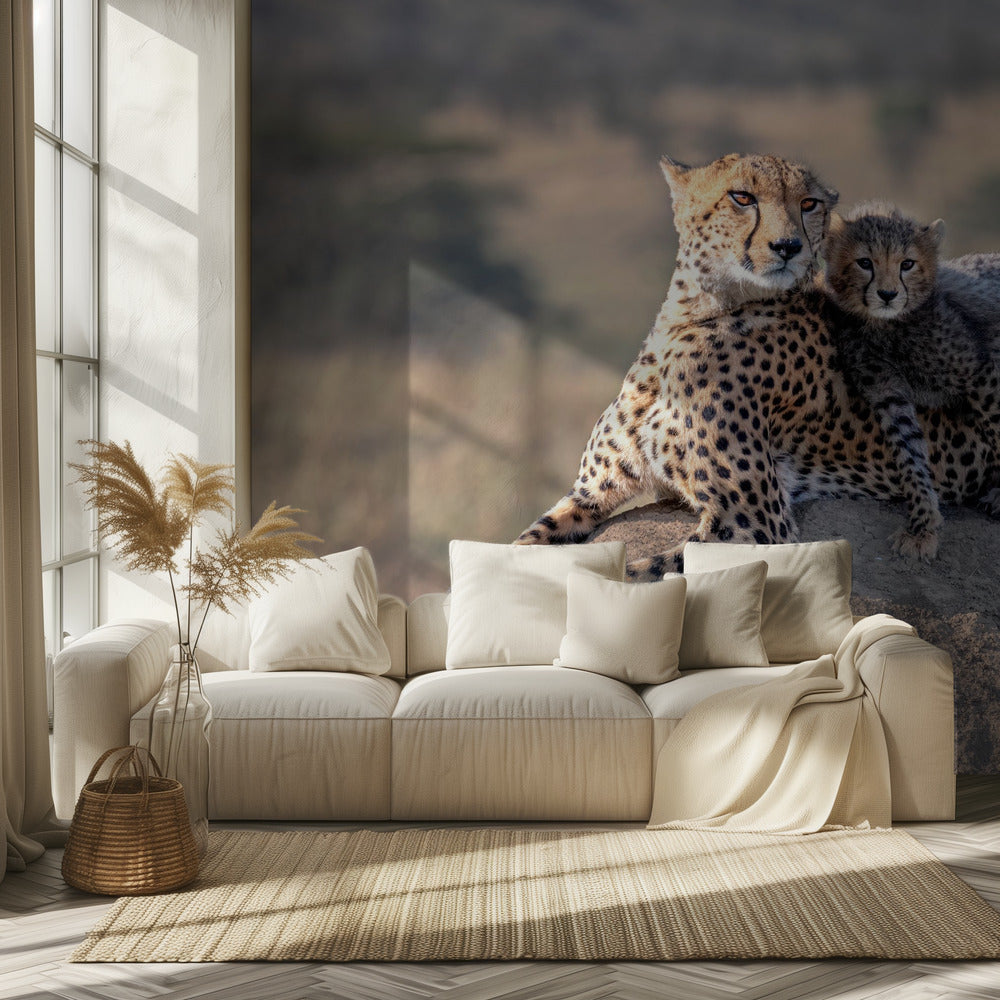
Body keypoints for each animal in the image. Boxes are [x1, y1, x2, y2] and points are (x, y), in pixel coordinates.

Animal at [823, 201, 1000, 559]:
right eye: (865, 263)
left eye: (907, 264)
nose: (888, 294)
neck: (889, 327)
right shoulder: (887, 392)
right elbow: (909, 452)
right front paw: (922, 524)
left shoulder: (982, 373)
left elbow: (999, 427)